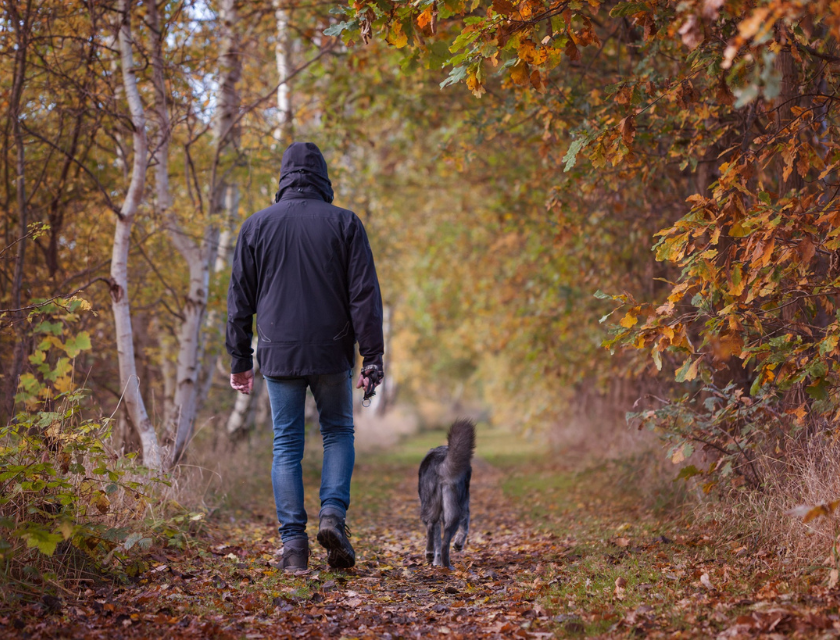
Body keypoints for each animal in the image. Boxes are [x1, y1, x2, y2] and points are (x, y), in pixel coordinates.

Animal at [416, 422, 476, 568]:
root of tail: (440, 462)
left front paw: (436, 562)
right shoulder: (465, 505)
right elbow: (466, 525)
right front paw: (458, 544)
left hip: (432, 507)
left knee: (432, 528)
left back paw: (432, 556)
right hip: (453, 510)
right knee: (444, 542)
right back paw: (447, 565)